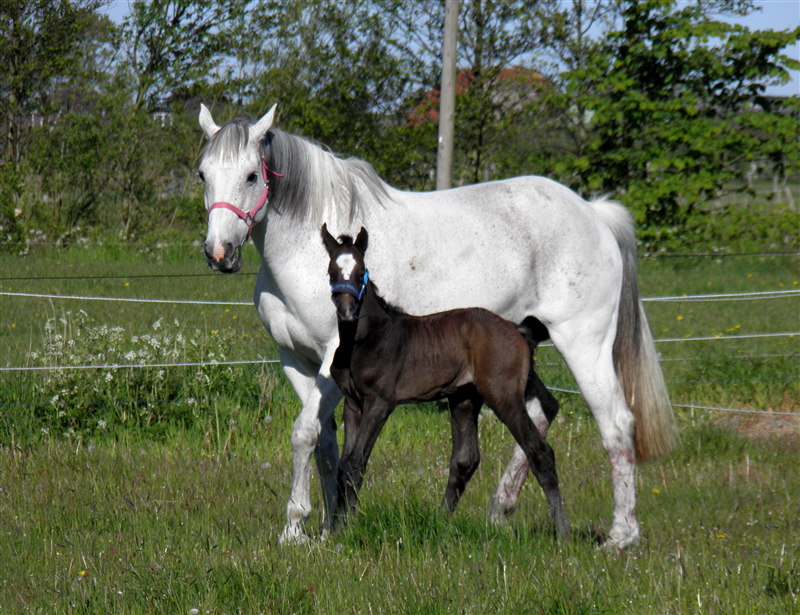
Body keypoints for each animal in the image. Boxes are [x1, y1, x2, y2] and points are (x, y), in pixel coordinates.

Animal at [320, 225, 568, 540]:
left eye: (360, 271)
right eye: (331, 271)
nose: (347, 312)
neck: (364, 340)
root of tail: (517, 330)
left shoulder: (379, 402)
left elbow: (355, 463)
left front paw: (343, 530)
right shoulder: (353, 404)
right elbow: (346, 465)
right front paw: (337, 527)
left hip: (503, 395)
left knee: (540, 451)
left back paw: (562, 532)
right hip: (465, 397)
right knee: (465, 459)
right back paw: (440, 522)